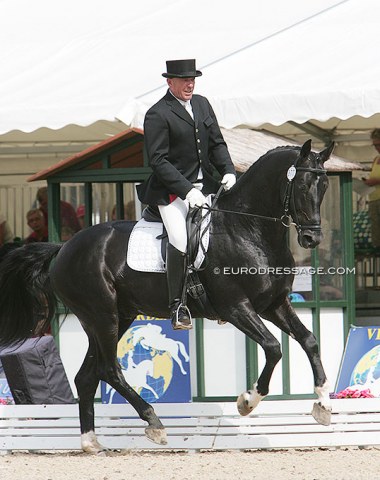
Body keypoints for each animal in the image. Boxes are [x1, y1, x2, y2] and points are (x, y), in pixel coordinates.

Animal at [0, 140, 332, 454]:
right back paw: (154, 423)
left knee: (86, 376)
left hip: (116, 317)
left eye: (325, 186)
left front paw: (323, 404)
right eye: (303, 186)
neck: (248, 228)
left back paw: (91, 442)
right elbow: (274, 347)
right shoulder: (236, 307)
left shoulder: (274, 304)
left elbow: (310, 340)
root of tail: (64, 247)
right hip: (102, 316)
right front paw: (248, 400)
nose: (311, 238)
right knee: (109, 370)